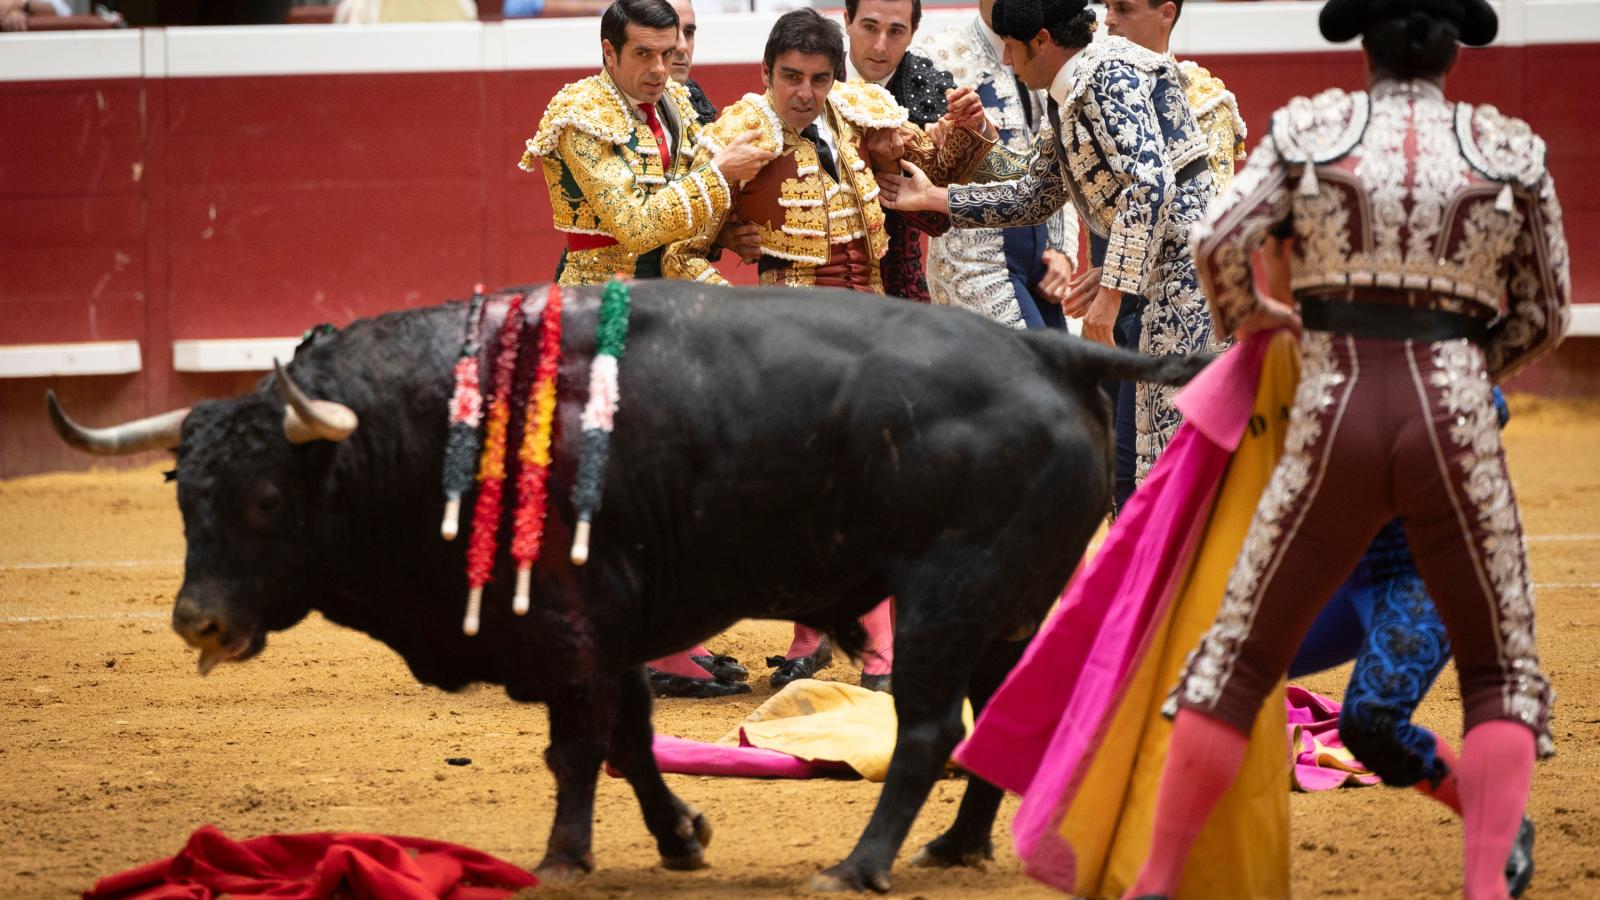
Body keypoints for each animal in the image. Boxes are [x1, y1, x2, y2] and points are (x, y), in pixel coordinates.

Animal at [43, 280, 1203, 890]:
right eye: (184, 497)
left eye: (264, 500)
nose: (199, 620)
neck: (421, 430)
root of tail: (1048, 350)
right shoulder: (612, 632)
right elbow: (633, 738)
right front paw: (680, 836)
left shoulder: (566, 624)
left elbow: (576, 747)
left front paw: (564, 857)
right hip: (1006, 606)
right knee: (999, 715)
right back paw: (956, 848)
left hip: (944, 597)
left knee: (924, 730)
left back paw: (859, 863)